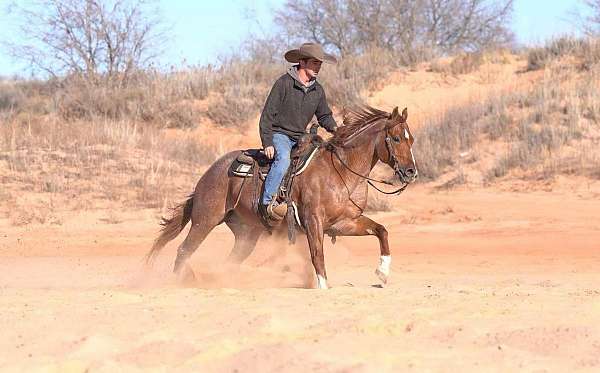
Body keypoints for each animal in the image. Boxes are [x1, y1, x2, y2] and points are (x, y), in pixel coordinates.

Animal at [145, 104, 418, 288]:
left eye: (411, 139)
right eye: (395, 138)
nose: (411, 172)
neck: (339, 171)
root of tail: (207, 175)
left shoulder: (344, 223)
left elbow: (381, 230)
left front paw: (382, 273)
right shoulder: (313, 222)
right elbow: (317, 255)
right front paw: (323, 286)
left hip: (246, 234)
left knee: (231, 261)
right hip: (205, 220)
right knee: (184, 250)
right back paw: (181, 281)